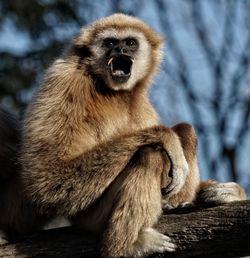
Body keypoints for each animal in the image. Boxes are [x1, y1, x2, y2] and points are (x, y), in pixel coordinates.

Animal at [0, 13, 245, 256]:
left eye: (130, 43)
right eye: (109, 43)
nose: (120, 50)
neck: (111, 90)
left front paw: (228, 192)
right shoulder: (64, 80)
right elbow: (47, 180)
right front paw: (165, 136)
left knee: (185, 130)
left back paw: (176, 204)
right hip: (91, 215)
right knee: (150, 155)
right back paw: (130, 245)